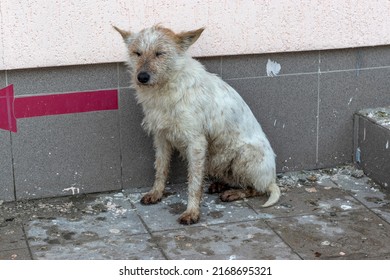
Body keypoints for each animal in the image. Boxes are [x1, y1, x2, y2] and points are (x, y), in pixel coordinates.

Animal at [113, 24, 280, 225]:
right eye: (137, 53)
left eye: (159, 53)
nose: (142, 77)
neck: (167, 87)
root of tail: (271, 178)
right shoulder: (161, 138)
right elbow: (161, 169)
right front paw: (156, 193)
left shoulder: (196, 142)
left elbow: (194, 182)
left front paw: (192, 211)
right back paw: (220, 185)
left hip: (245, 155)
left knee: (257, 188)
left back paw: (234, 193)